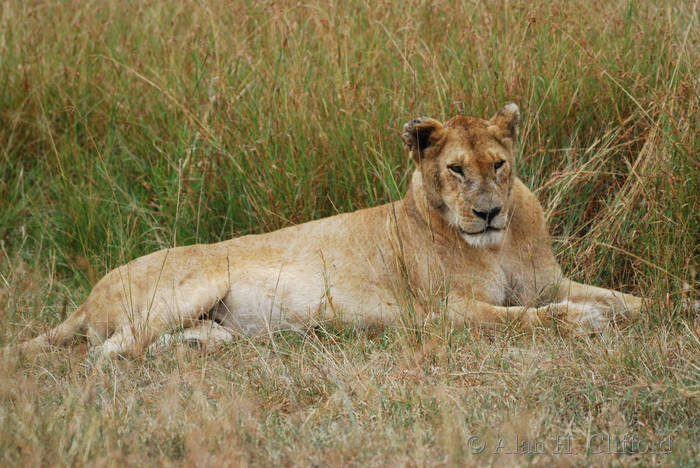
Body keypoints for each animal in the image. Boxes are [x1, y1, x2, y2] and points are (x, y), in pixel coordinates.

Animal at [7, 103, 643, 358]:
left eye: (499, 164)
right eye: (457, 170)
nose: (487, 212)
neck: (498, 245)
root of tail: (87, 296)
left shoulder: (544, 282)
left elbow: (626, 300)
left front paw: (648, 306)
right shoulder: (445, 313)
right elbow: (532, 320)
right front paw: (585, 320)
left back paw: (203, 342)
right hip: (197, 278)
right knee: (109, 352)